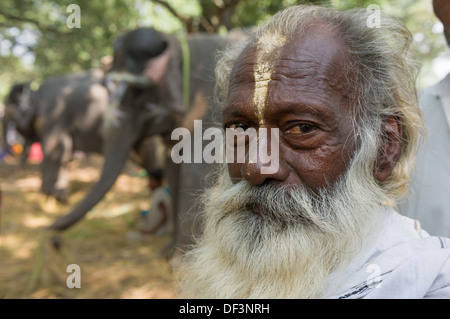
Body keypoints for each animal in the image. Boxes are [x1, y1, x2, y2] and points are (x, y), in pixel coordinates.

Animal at [47, 26, 251, 260]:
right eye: (108, 89)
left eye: (139, 90)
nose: (52, 235)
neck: (175, 41)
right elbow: (172, 164)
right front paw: (168, 252)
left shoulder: (207, 104)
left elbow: (195, 168)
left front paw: (179, 261)